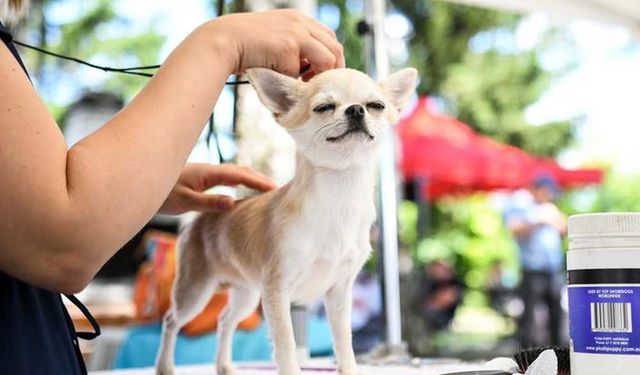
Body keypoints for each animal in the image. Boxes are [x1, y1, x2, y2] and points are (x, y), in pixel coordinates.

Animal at [154, 67, 416, 375]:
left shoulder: (339, 293)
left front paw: (349, 369)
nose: (356, 109)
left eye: (376, 105)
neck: (340, 195)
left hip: (246, 294)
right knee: (171, 320)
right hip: (196, 291)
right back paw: (165, 366)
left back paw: (224, 365)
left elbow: (343, 341)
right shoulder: (276, 290)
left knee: (225, 320)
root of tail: (202, 217)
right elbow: (285, 342)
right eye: (324, 107)